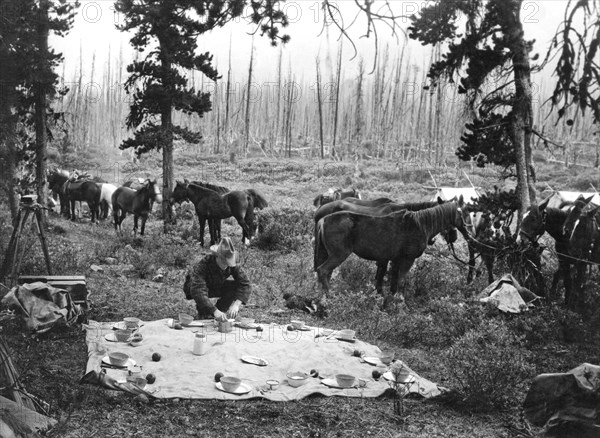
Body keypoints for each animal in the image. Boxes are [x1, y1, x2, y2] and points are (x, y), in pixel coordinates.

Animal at [314, 197, 468, 302]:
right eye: (461, 214)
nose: (455, 236)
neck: (419, 223)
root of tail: (323, 219)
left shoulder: (394, 259)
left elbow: (391, 279)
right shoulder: (406, 259)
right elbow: (399, 281)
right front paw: (399, 301)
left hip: (327, 253)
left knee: (324, 273)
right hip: (338, 255)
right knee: (323, 271)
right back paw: (329, 297)